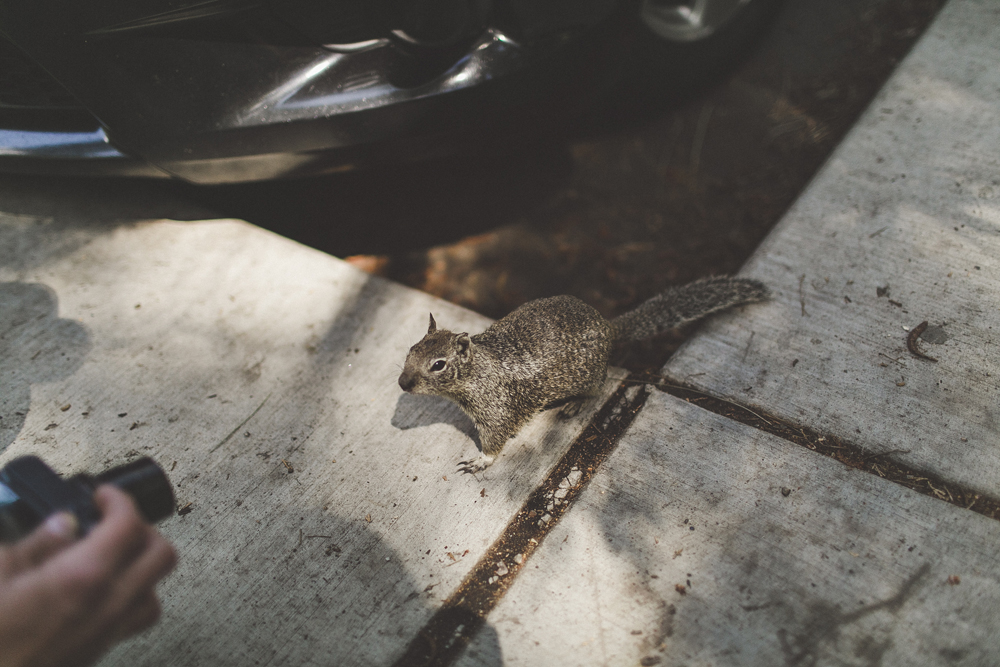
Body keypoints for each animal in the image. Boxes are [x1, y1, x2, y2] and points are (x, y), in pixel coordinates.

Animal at [398, 276, 764, 474]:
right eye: (411, 349)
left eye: (438, 365)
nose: (402, 382)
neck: (477, 371)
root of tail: (609, 327)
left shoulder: (496, 412)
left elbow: (494, 441)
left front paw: (480, 461)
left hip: (588, 377)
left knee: (598, 388)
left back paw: (574, 404)